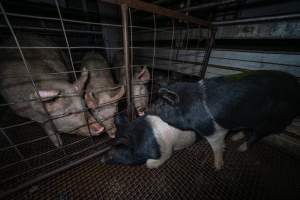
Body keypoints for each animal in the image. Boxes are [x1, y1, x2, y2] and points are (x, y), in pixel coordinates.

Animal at [101, 70, 300, 169]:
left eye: (116, 150)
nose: (103, 158)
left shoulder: (213, 131)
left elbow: (217, 147)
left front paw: (217, 167)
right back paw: (237, 138)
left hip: (270, 121)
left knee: (257, 134)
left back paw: (241, 148)